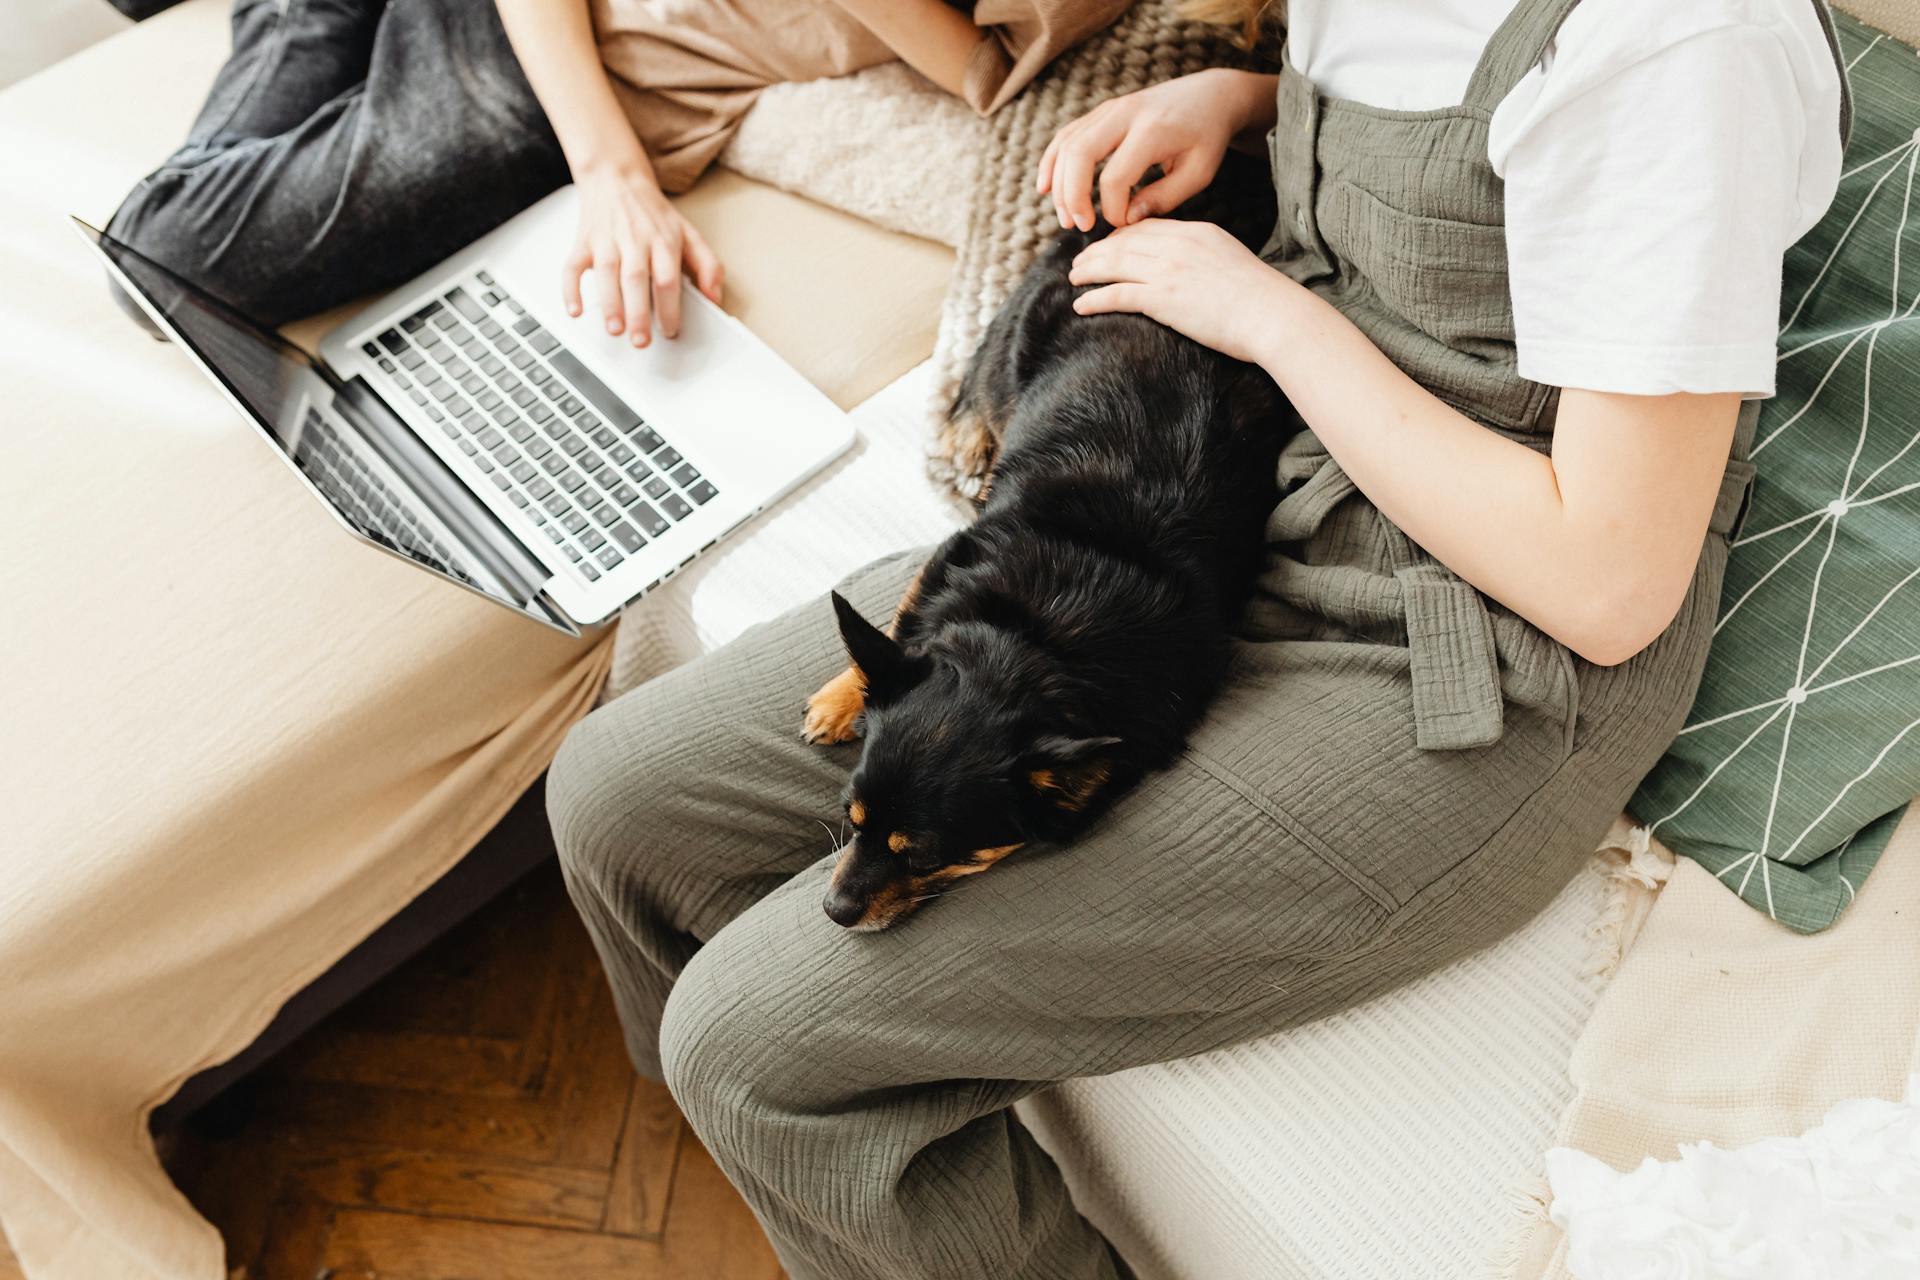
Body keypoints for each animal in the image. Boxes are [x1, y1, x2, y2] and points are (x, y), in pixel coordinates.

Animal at [802, 208, 1297, 932]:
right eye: (850, 815)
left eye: (920, 856)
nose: (835, 910)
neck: (1032, 639)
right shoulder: (954, 553)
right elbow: (899, 625)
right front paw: (844, 697)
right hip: (1020, 341)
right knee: (976, 392)